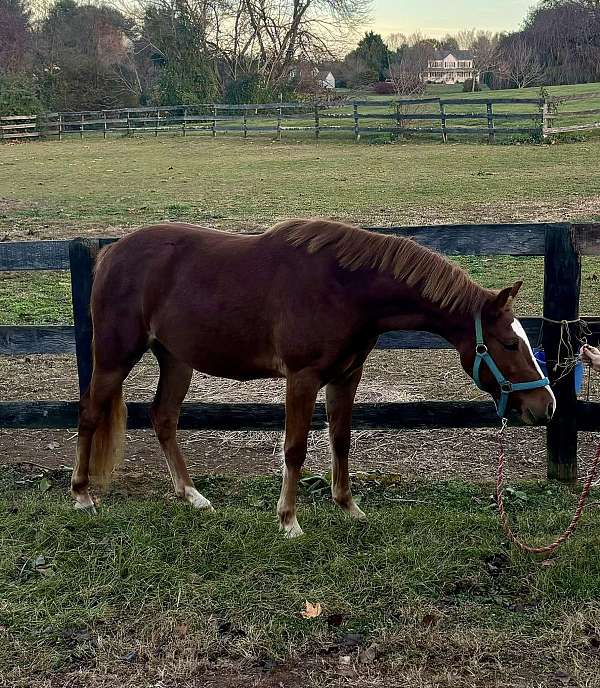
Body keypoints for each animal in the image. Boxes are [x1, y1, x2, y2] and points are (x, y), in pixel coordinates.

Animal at [72, 220, 556, 536]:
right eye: (509, 344)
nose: (546, 405)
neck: (345, 288)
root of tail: (111, 253)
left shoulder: (346, 377)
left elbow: (340, 440)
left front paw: (348, 507)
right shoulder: (302, 379)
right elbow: (295, 449)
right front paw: (289, 521)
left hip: (176, 360)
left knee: (164, 418)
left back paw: (191, 495)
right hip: (115, 356)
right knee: (90, 413)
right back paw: (82, 495)